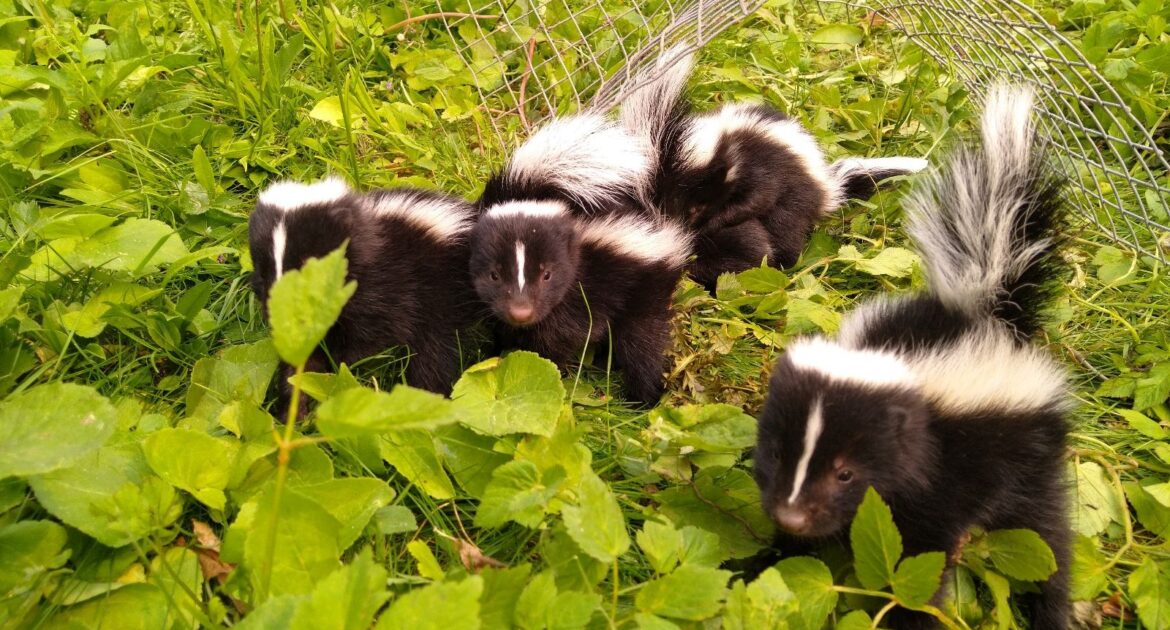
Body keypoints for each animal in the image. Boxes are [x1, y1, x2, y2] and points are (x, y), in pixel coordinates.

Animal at [249, 174, 477, 405]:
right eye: (263, 272)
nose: (283, 312)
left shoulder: (388, 288)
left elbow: (368, 338)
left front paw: (337, 372)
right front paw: (294, 402)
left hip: (440, 298)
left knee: (433, 356)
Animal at [467, 202, 687, 407]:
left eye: (547, 275)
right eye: (494, 275)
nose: (521, 312)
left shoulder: (573, 304)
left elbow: (553, 343)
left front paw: (548, 370)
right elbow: (503, 332)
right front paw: (492, 357)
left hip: (644, 293)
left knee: (642, 347)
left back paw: (640, 401)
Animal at [617, 52, 926, 286]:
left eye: (697, 207)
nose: (684, 229)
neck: (722, 140)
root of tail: (826, 188)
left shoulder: (760, 166)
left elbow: (758, 197)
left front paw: (719, 220)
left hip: (797, 198)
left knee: (784, 225)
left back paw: (784, 265)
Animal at [748, 86, 1071, 622]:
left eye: (846, 472)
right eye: (776, 451)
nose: (792, 516)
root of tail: (987, 313)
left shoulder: (939, 480)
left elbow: (918, 563)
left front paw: (914, 614)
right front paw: (767, 563)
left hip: (1032, 454)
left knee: (1045, 536)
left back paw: (1056, 612)